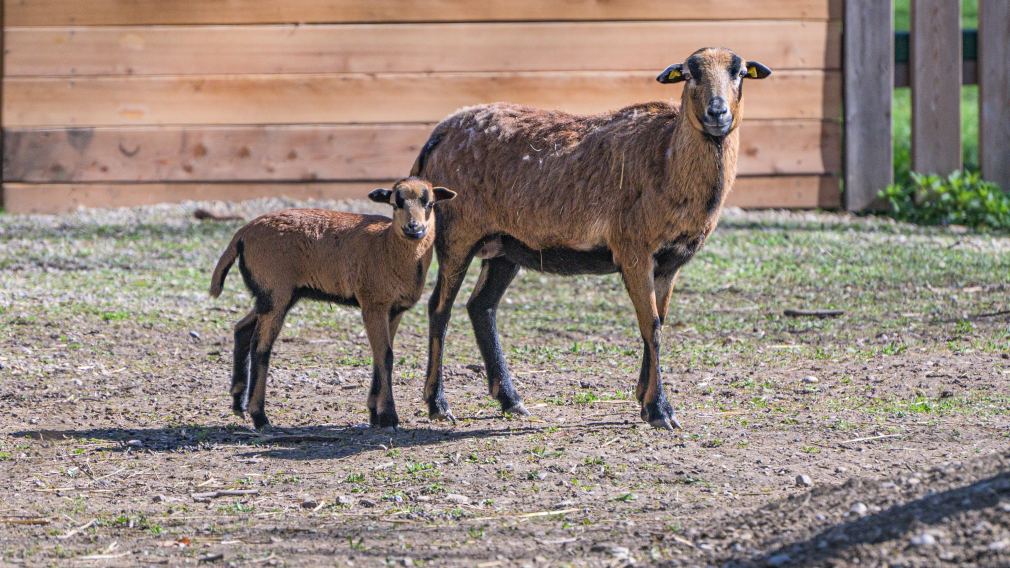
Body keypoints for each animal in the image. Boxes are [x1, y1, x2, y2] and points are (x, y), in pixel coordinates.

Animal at [209, 176, 458, 428]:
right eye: (395, 203)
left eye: (430, 204)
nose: (414, 228)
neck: (386, 246)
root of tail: (243, 232)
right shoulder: (373, 304)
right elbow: (385, 356)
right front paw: (388, 416)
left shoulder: (394, 310)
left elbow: (379, 355)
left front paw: (375, 413)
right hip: (275, 292)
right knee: (260, 347)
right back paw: (259, 416)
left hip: (273, 295)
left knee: (242, 329)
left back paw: (238, 403)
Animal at [410, 48, 771, 426]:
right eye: (689, 74)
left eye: (740, 73)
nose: (718, 113)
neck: (668, 159)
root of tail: (440, 131)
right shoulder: (634, 249)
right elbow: (652, 326)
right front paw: (660, 410)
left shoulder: (670, 262)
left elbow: (657, 324)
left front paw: (644, 400)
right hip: (457, 234)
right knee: (439, 309)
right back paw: (438, 405)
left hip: (505, 246)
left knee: (481, 306)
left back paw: (511, 400)